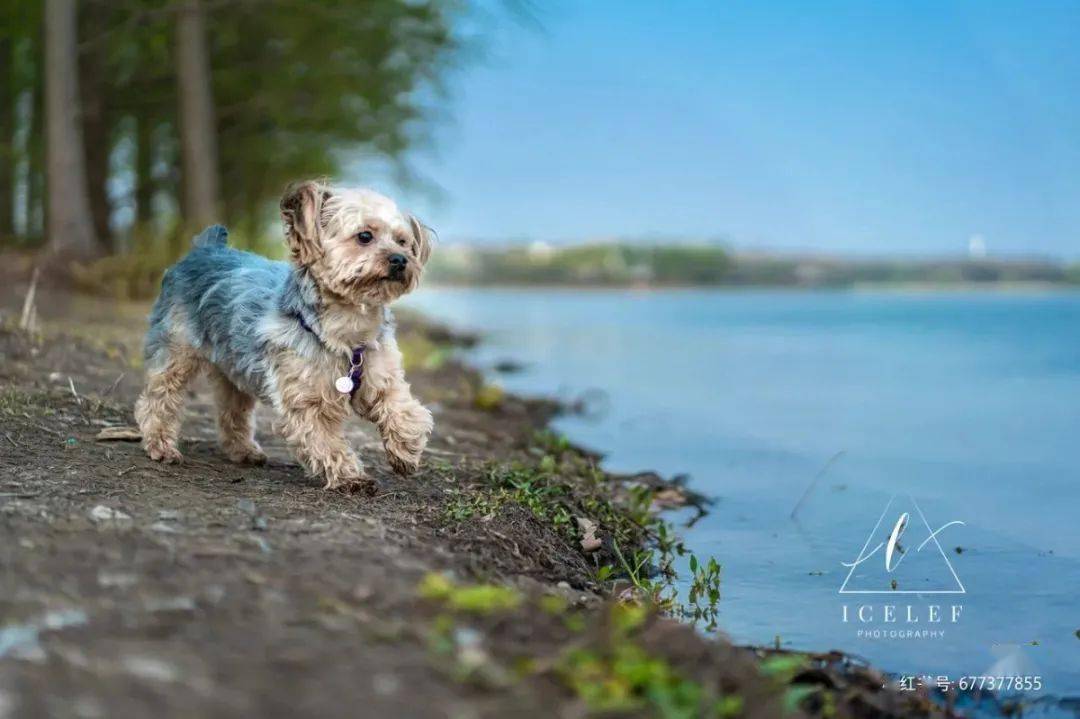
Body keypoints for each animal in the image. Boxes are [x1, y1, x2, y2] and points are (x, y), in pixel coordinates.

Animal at [135, 180, 434, 492]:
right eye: (365, 236)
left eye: (403, 241)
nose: (401, 259)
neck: (349, 327)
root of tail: (205, 249)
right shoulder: (306, 400)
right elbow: (325, 441)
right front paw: (350, 476)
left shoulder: (381, 378)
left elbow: (403, 409)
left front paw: (406, 451)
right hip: (176, 351)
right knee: (159, 398)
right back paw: (161, 446)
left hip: (235, 368)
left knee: (232, 410)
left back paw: (243, 451)